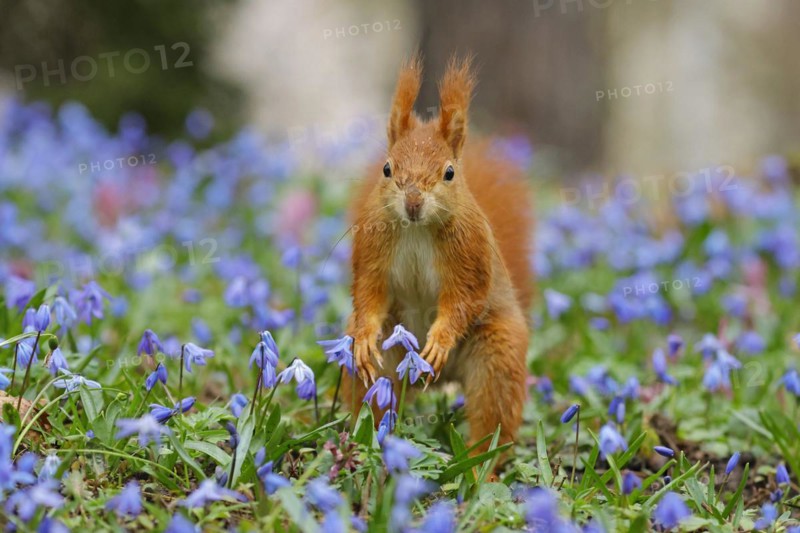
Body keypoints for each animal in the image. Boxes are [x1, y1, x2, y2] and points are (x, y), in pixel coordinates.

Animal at [343, 56, 533, 451]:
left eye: (449, 173)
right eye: (387, 168)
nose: (413, 201)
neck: (417, 228)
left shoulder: (470, 255)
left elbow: (465, 299)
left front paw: (440, 340)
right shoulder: (372, 250)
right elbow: (368, 291)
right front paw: (365, 336)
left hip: (498, 355)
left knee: (494, 415)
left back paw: (481, 461)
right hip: (387, 353)